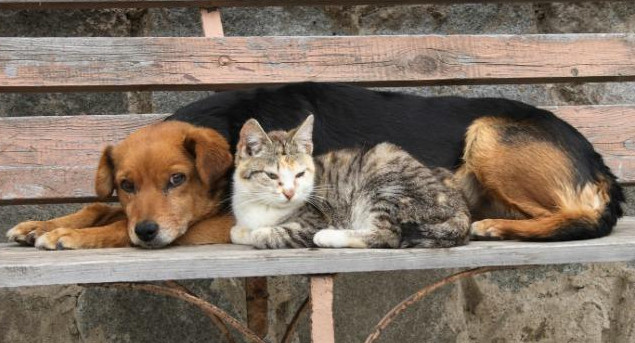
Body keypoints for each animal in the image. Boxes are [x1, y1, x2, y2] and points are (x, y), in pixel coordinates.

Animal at [6, 121, 235, 250]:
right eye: (126, 185)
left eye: (177, 178)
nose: (145, 231)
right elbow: (100, 208)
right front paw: (38, 226)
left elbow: (121, 226)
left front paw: (68, 234)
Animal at [231, 115, 470, 250]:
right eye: (272, 176)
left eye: (300, 174)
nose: (290, 193)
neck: (262, 206)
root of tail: (460, 208)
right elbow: (237, 232)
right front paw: (242, 231)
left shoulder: (314, 219)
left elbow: (265, 234)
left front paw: (258, 233)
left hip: (387, 183)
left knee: (387, 235)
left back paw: (328, 237)